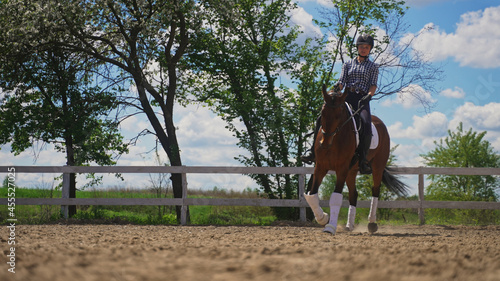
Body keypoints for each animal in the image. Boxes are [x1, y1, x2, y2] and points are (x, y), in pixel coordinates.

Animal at [302, 84, 408, 233]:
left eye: (339, 114)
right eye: (322, 113)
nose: (325, 143)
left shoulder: (341, 169)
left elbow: (336, 197)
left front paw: (330, 226)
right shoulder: (320, 167)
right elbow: (312, 194)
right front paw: (323, 218)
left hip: (377, 166)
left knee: (375, 190)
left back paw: (372, 224)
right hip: (351, 171)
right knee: (354, 194)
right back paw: (349, 226)